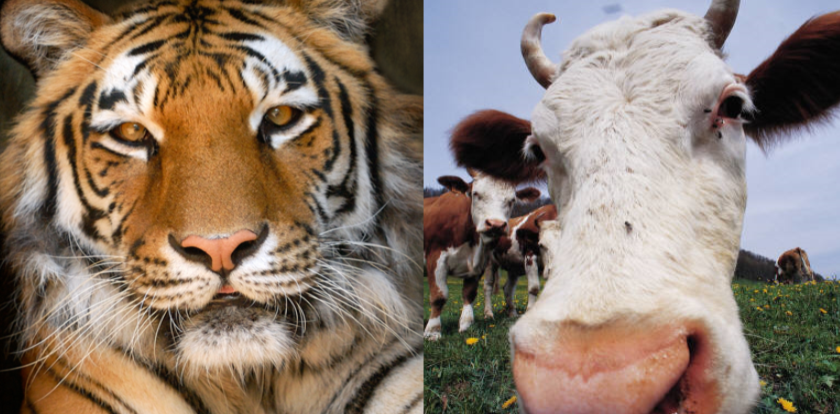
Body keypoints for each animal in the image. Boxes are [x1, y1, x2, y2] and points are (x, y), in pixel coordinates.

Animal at [424, 171, 539, 340]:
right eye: (476, 194)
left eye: (512, 200)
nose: (496, 224)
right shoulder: (436, 258)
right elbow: (439, 296)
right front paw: (433, 331)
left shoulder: (479, 264)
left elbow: (470, 293)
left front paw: (466, 325)